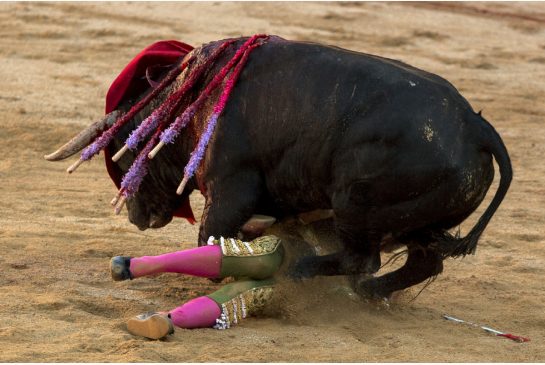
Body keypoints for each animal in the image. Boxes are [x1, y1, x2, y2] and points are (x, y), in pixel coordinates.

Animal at [91, 37, 512, 298]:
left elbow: (211, 238)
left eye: (122, 154)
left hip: (356, 205)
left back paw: (303, 273)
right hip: (419, 224)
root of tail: (474, 126)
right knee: (424, 262)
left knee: (362, 258)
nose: (136, 217)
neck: (195, 105)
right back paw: (368, 292)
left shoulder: (229, 189)